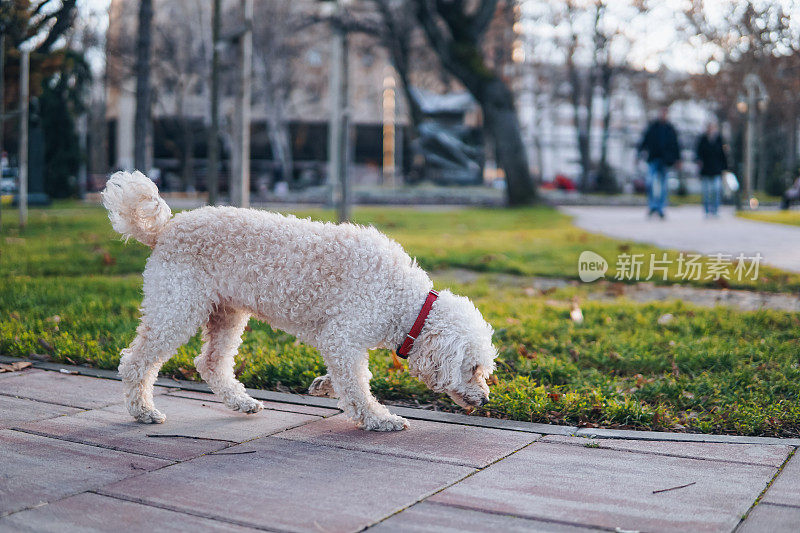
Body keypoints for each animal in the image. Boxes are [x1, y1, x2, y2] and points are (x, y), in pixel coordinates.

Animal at [103, 172, 496, 430]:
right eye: (474, 367)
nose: (487, 400)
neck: (406, 303)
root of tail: (165, 230)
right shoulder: (342, 336)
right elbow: (357, 384)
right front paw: (378, 418)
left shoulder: (343, 342)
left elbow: (350, 376)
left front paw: (324, 385)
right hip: (178, 307)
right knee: (137, 362)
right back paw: (142, 411)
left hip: (227, 313)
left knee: (211, 363)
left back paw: (241, 402)